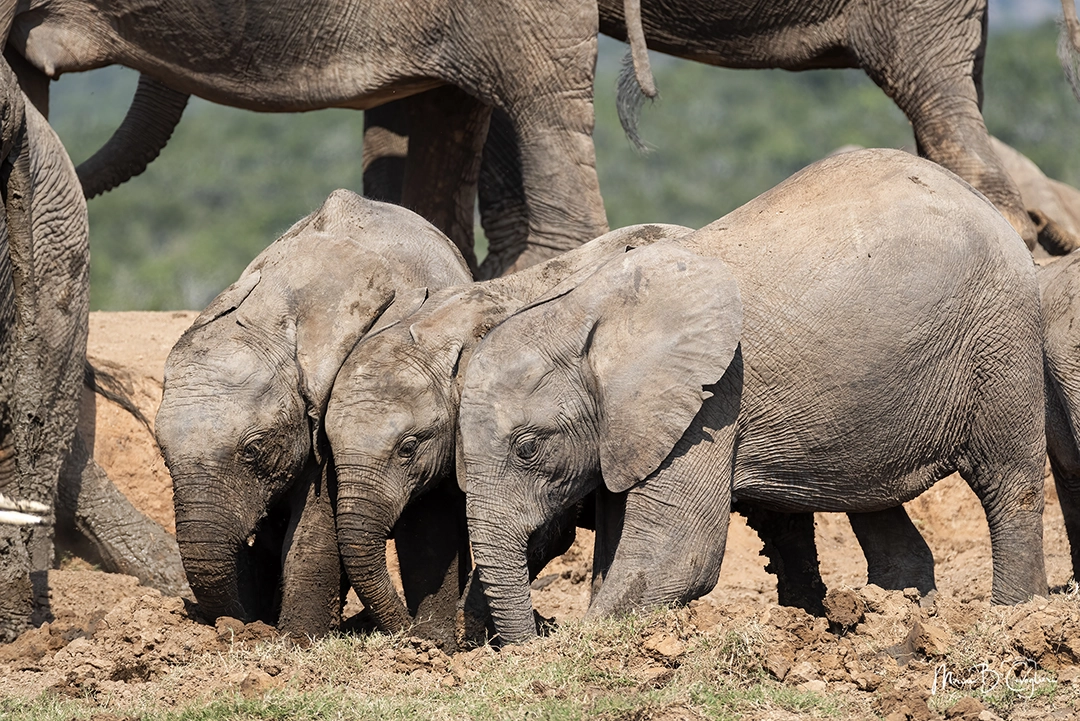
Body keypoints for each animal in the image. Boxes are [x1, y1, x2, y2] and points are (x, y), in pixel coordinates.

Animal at [153, 190, 472, 638]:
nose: (239, 626)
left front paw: (299, 640)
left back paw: (432, 641)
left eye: (252, 449)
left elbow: (315, 521)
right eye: (163, 456)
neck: (273, 314)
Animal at [458, 148, 1048, 644]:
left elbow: (677, 554)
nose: (530, 636)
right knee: (875, 501)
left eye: (528, 449)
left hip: (1001, 335)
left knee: (1008, 483)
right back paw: (895, 619)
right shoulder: (627, 427)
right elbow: (617, 546)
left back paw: (1012, 620)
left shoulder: (710, 400)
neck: (579, 312)